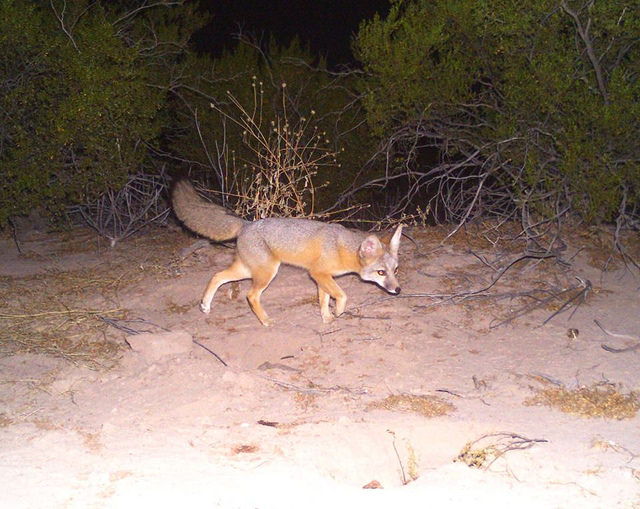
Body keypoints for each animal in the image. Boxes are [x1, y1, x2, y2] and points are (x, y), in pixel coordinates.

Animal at [171, 179, 403, 327]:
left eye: (395, 271)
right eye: (381, 272)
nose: (398, 290)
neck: (340, 246)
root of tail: (246, 224)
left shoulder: (322, 278)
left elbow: (323, 299)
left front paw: (327, 318)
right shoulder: (318, 273)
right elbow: (341, 295)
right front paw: (338, 311)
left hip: (247, 271)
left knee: (217, 276)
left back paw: (205, 305)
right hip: (266, 273)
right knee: (250, 295)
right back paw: (265, 321)